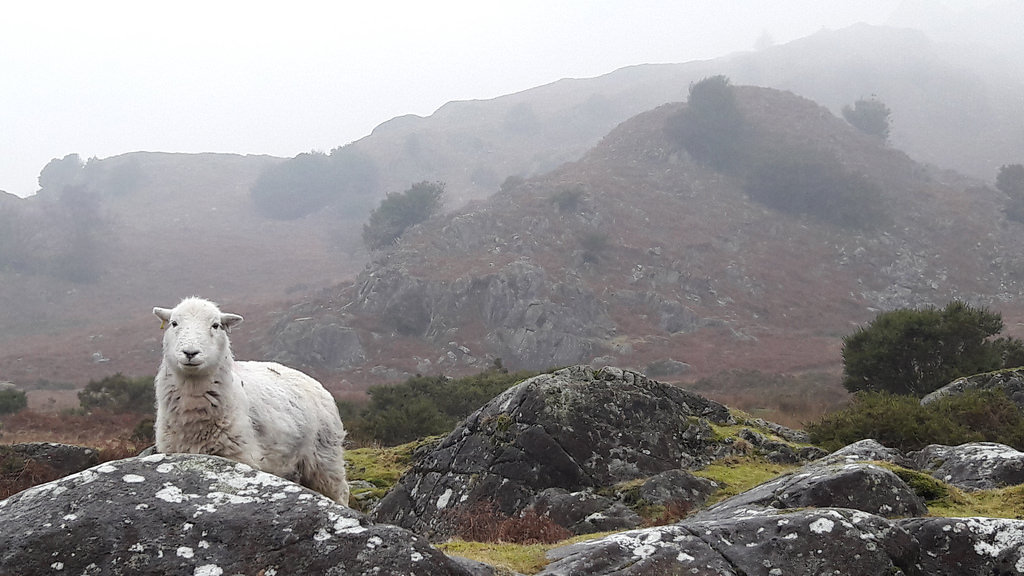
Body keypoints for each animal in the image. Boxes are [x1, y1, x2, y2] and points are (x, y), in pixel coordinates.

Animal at [151, 295, 350, 502]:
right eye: (174, 323)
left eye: (215, 325)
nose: (190, 353)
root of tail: (315, 382)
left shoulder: (240, 457)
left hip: (326, 459)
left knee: (340, 491)